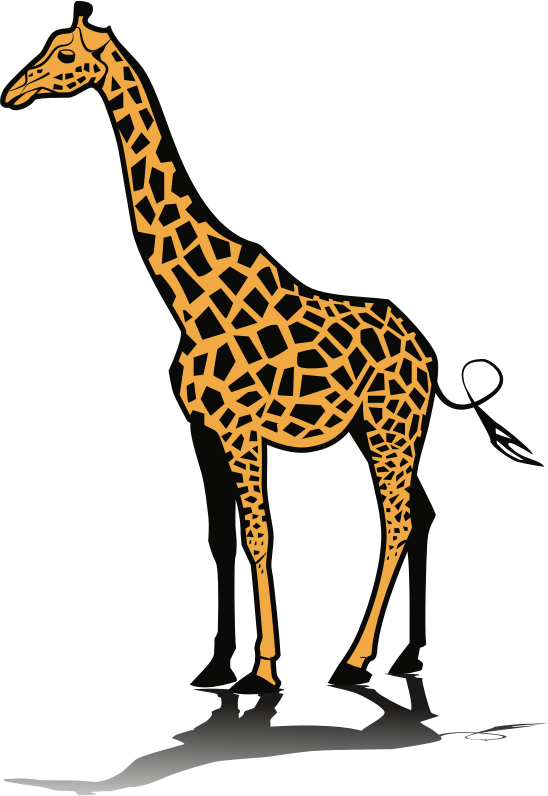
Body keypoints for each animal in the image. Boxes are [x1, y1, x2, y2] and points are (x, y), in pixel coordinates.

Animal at [3, 3, 542, 696]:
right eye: (47, 48)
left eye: (65, 55)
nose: (16, 89)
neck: (191, 300)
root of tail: (424, 352)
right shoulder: (202, 428)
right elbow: (219, 538)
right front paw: (214, 667)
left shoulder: (241, 428)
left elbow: (260, 535)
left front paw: (264, 667)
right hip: (387, 427)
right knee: (421, 514)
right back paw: (407, 656)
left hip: (390, 424)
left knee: (397, 520)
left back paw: (355, 660)